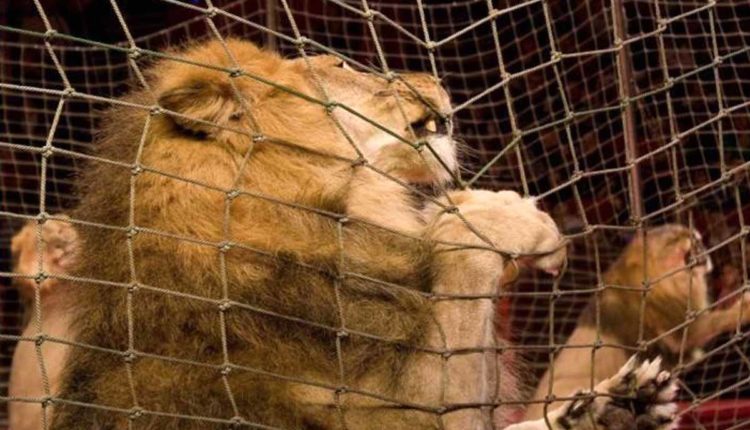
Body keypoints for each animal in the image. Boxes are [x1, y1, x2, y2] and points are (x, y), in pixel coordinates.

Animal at [19, 38, 679, 429]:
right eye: (341, 66)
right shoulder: (407, 411)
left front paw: (613, 406)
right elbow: (460, 249)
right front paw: (499, 216)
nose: (436, 76)